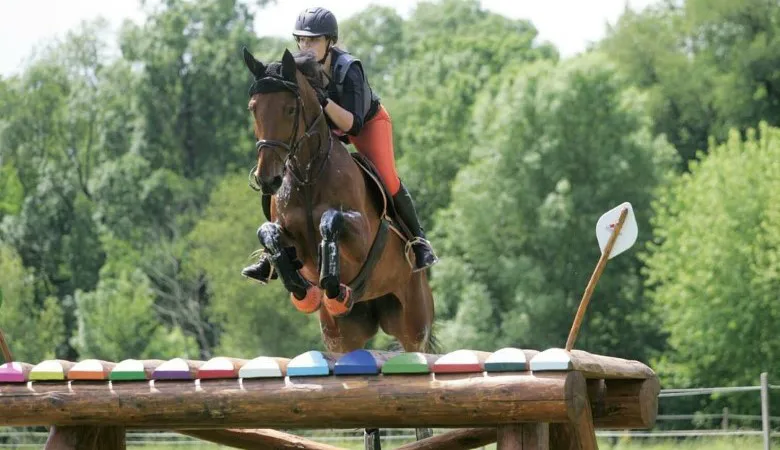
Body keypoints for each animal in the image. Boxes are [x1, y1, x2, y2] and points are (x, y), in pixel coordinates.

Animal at [241, 47, 438, 449]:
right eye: (254, 107)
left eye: (290, 108)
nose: (268, 179)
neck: (307, 174)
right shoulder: (287, 233)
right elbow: (269, 235)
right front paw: (302, 289)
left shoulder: (361, 237)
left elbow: (331, 222)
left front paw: (330, 283)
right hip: (343, 337)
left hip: (413, 324)